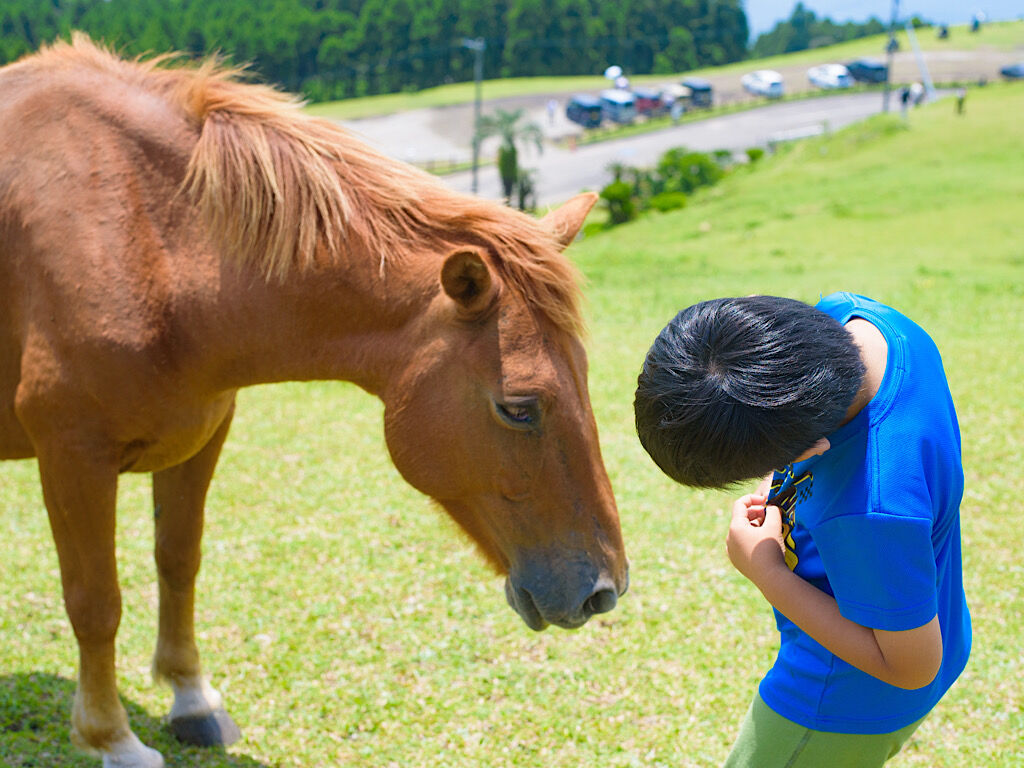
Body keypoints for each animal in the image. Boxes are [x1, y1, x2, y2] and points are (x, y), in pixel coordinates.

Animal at [0, 36, 626, 768]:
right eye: (519, 407)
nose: (605, 590)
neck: (143, 233)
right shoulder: (73, 458)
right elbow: (95, 602)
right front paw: (113, 738)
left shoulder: (201, 436)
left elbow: (179, 561)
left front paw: (191, 697)